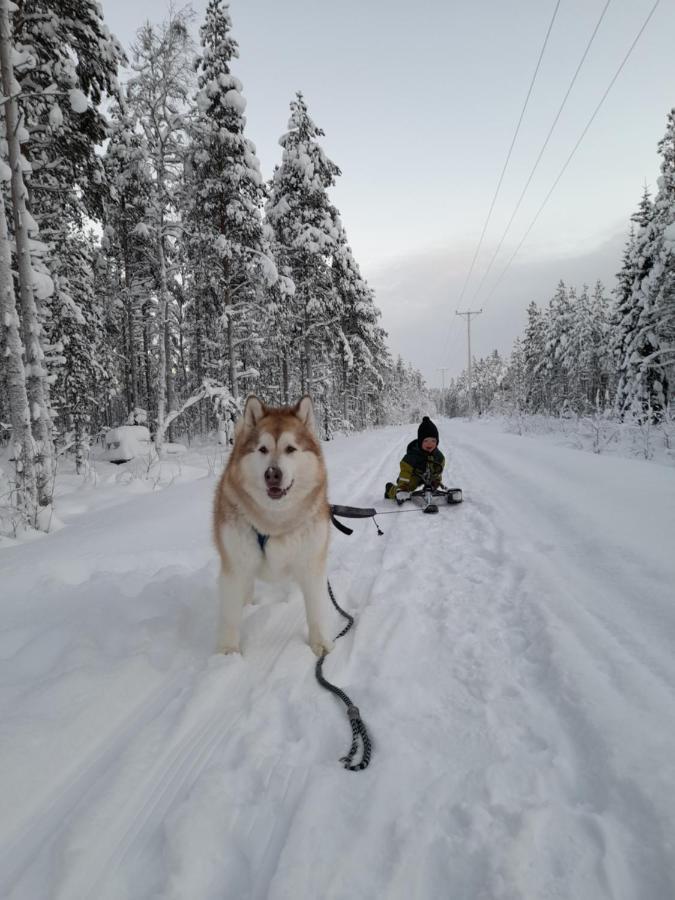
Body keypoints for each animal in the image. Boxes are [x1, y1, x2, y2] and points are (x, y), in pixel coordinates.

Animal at [213, 394, 334, 652]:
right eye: (263, 449)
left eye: (290, 449)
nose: (272, 474)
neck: (274, 523)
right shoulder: (235, 567)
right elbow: (230, 616)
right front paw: (228, 653)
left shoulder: (311, 564)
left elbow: (316, 610)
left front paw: (319, 645)